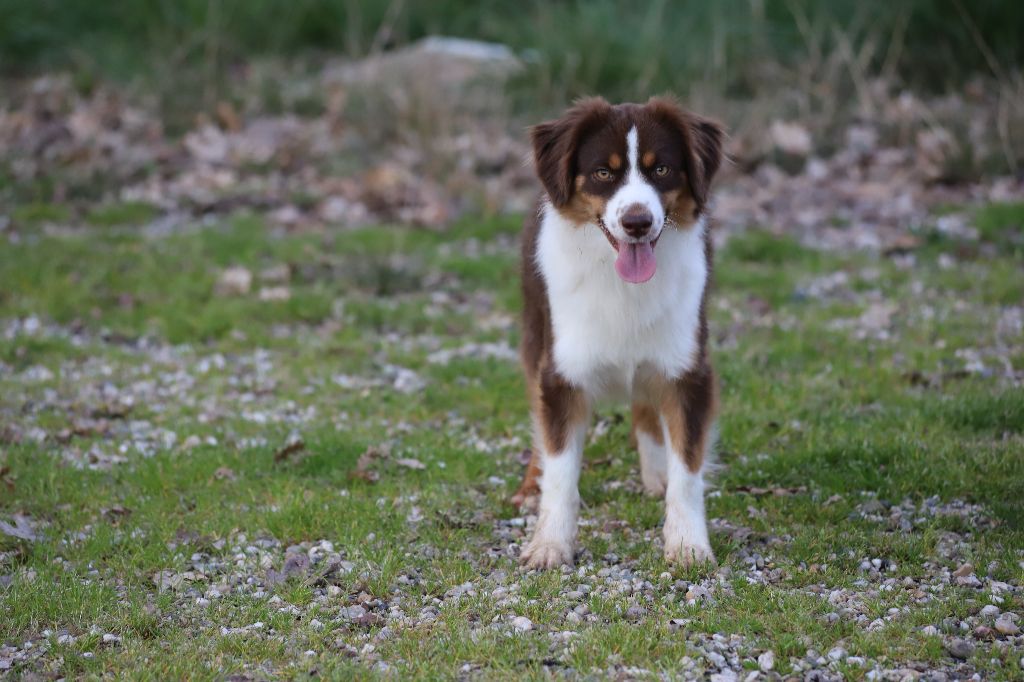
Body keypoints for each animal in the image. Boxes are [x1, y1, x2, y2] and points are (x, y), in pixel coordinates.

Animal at [509, 95, 720, 569]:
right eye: (604, 173)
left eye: (662, 169)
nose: (637, 222)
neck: (624, 286)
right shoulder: (561, 372)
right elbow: (560, 468)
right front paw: (550, 544)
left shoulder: (687, 369)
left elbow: (688, 468)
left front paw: (687, 544)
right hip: (534, 335)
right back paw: (530, 487)